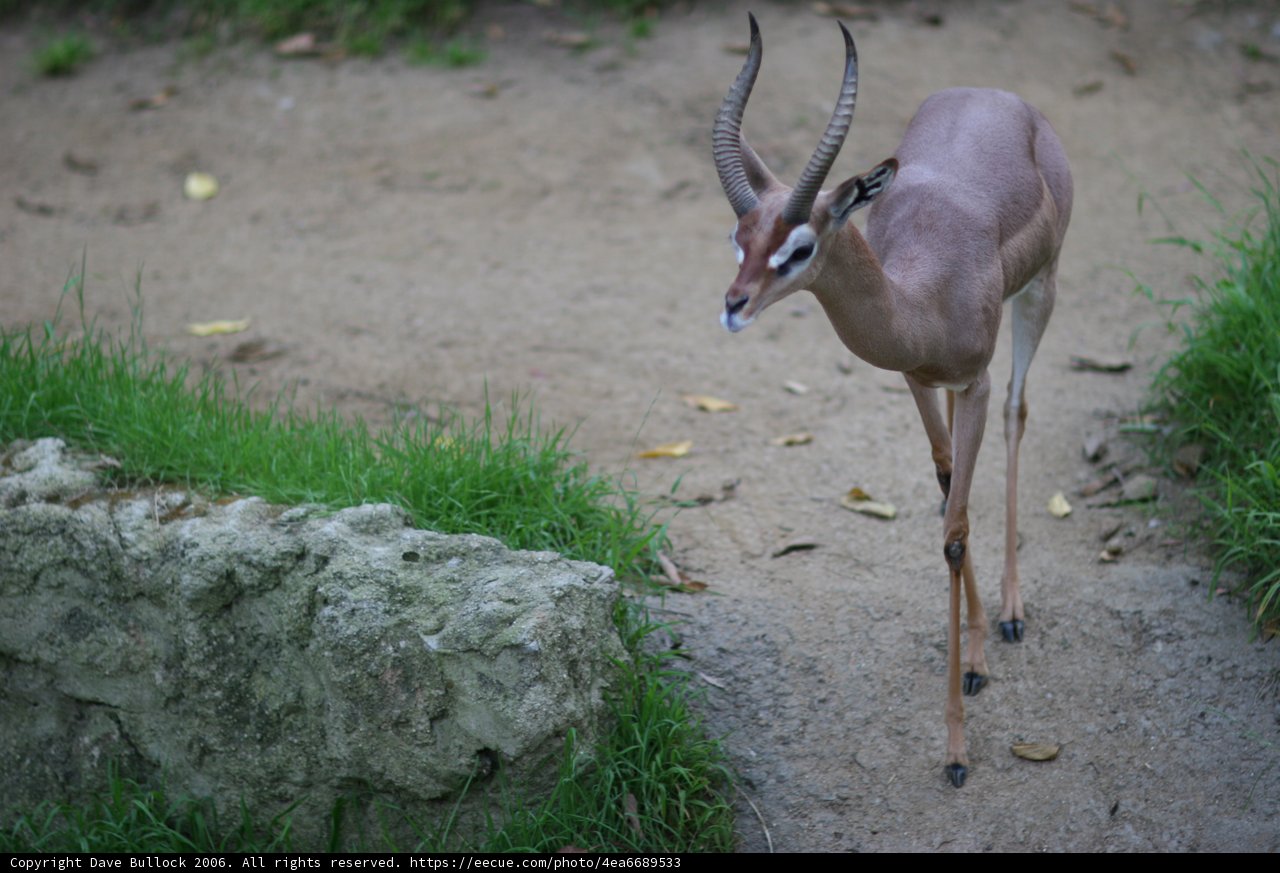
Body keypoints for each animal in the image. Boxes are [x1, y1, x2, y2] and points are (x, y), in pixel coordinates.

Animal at [712, 14, 1072, 786]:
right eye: (739, 237)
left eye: (799, 246)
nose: (733, 306)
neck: (923, 298)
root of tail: (996, 94)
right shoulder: (916, 379)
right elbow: (945, 485)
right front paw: (973, 657)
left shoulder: (975, 379)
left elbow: (956, 531)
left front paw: (958, 748)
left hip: (1043, 290)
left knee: (1018, 412)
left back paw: (1014, 612)